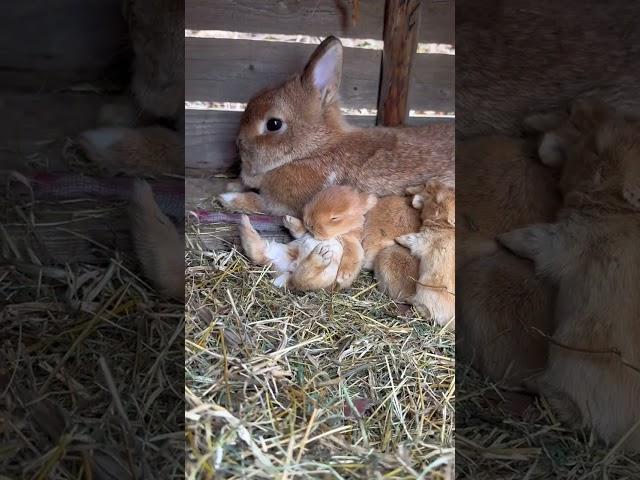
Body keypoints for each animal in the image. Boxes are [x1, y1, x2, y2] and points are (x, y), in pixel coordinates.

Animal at [220, 36, 456, 217]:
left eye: (273, 124)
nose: (238, 142)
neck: (316, 150)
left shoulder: (283, 204)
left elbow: (259, 202)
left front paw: (228, 197)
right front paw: (232, 185)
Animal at [240, 184, 380, 288]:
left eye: (335, 218)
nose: (308, 222)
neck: (336, 235)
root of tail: (289, 269)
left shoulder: (351, 243)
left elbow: (352, 257)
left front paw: (343, 276)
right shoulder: (304, 234)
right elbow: (299, 232)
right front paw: (288, 219)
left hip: (321, 277)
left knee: (301, 279)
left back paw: (320, 255)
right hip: (276, 251)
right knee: (256, 251)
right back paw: (244, 222)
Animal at [500, 100, 640, 450]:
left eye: (597, 150)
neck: (623, 213)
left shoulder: (564, 240)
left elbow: (533, 240)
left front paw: (505, 238)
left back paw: (527, 381)